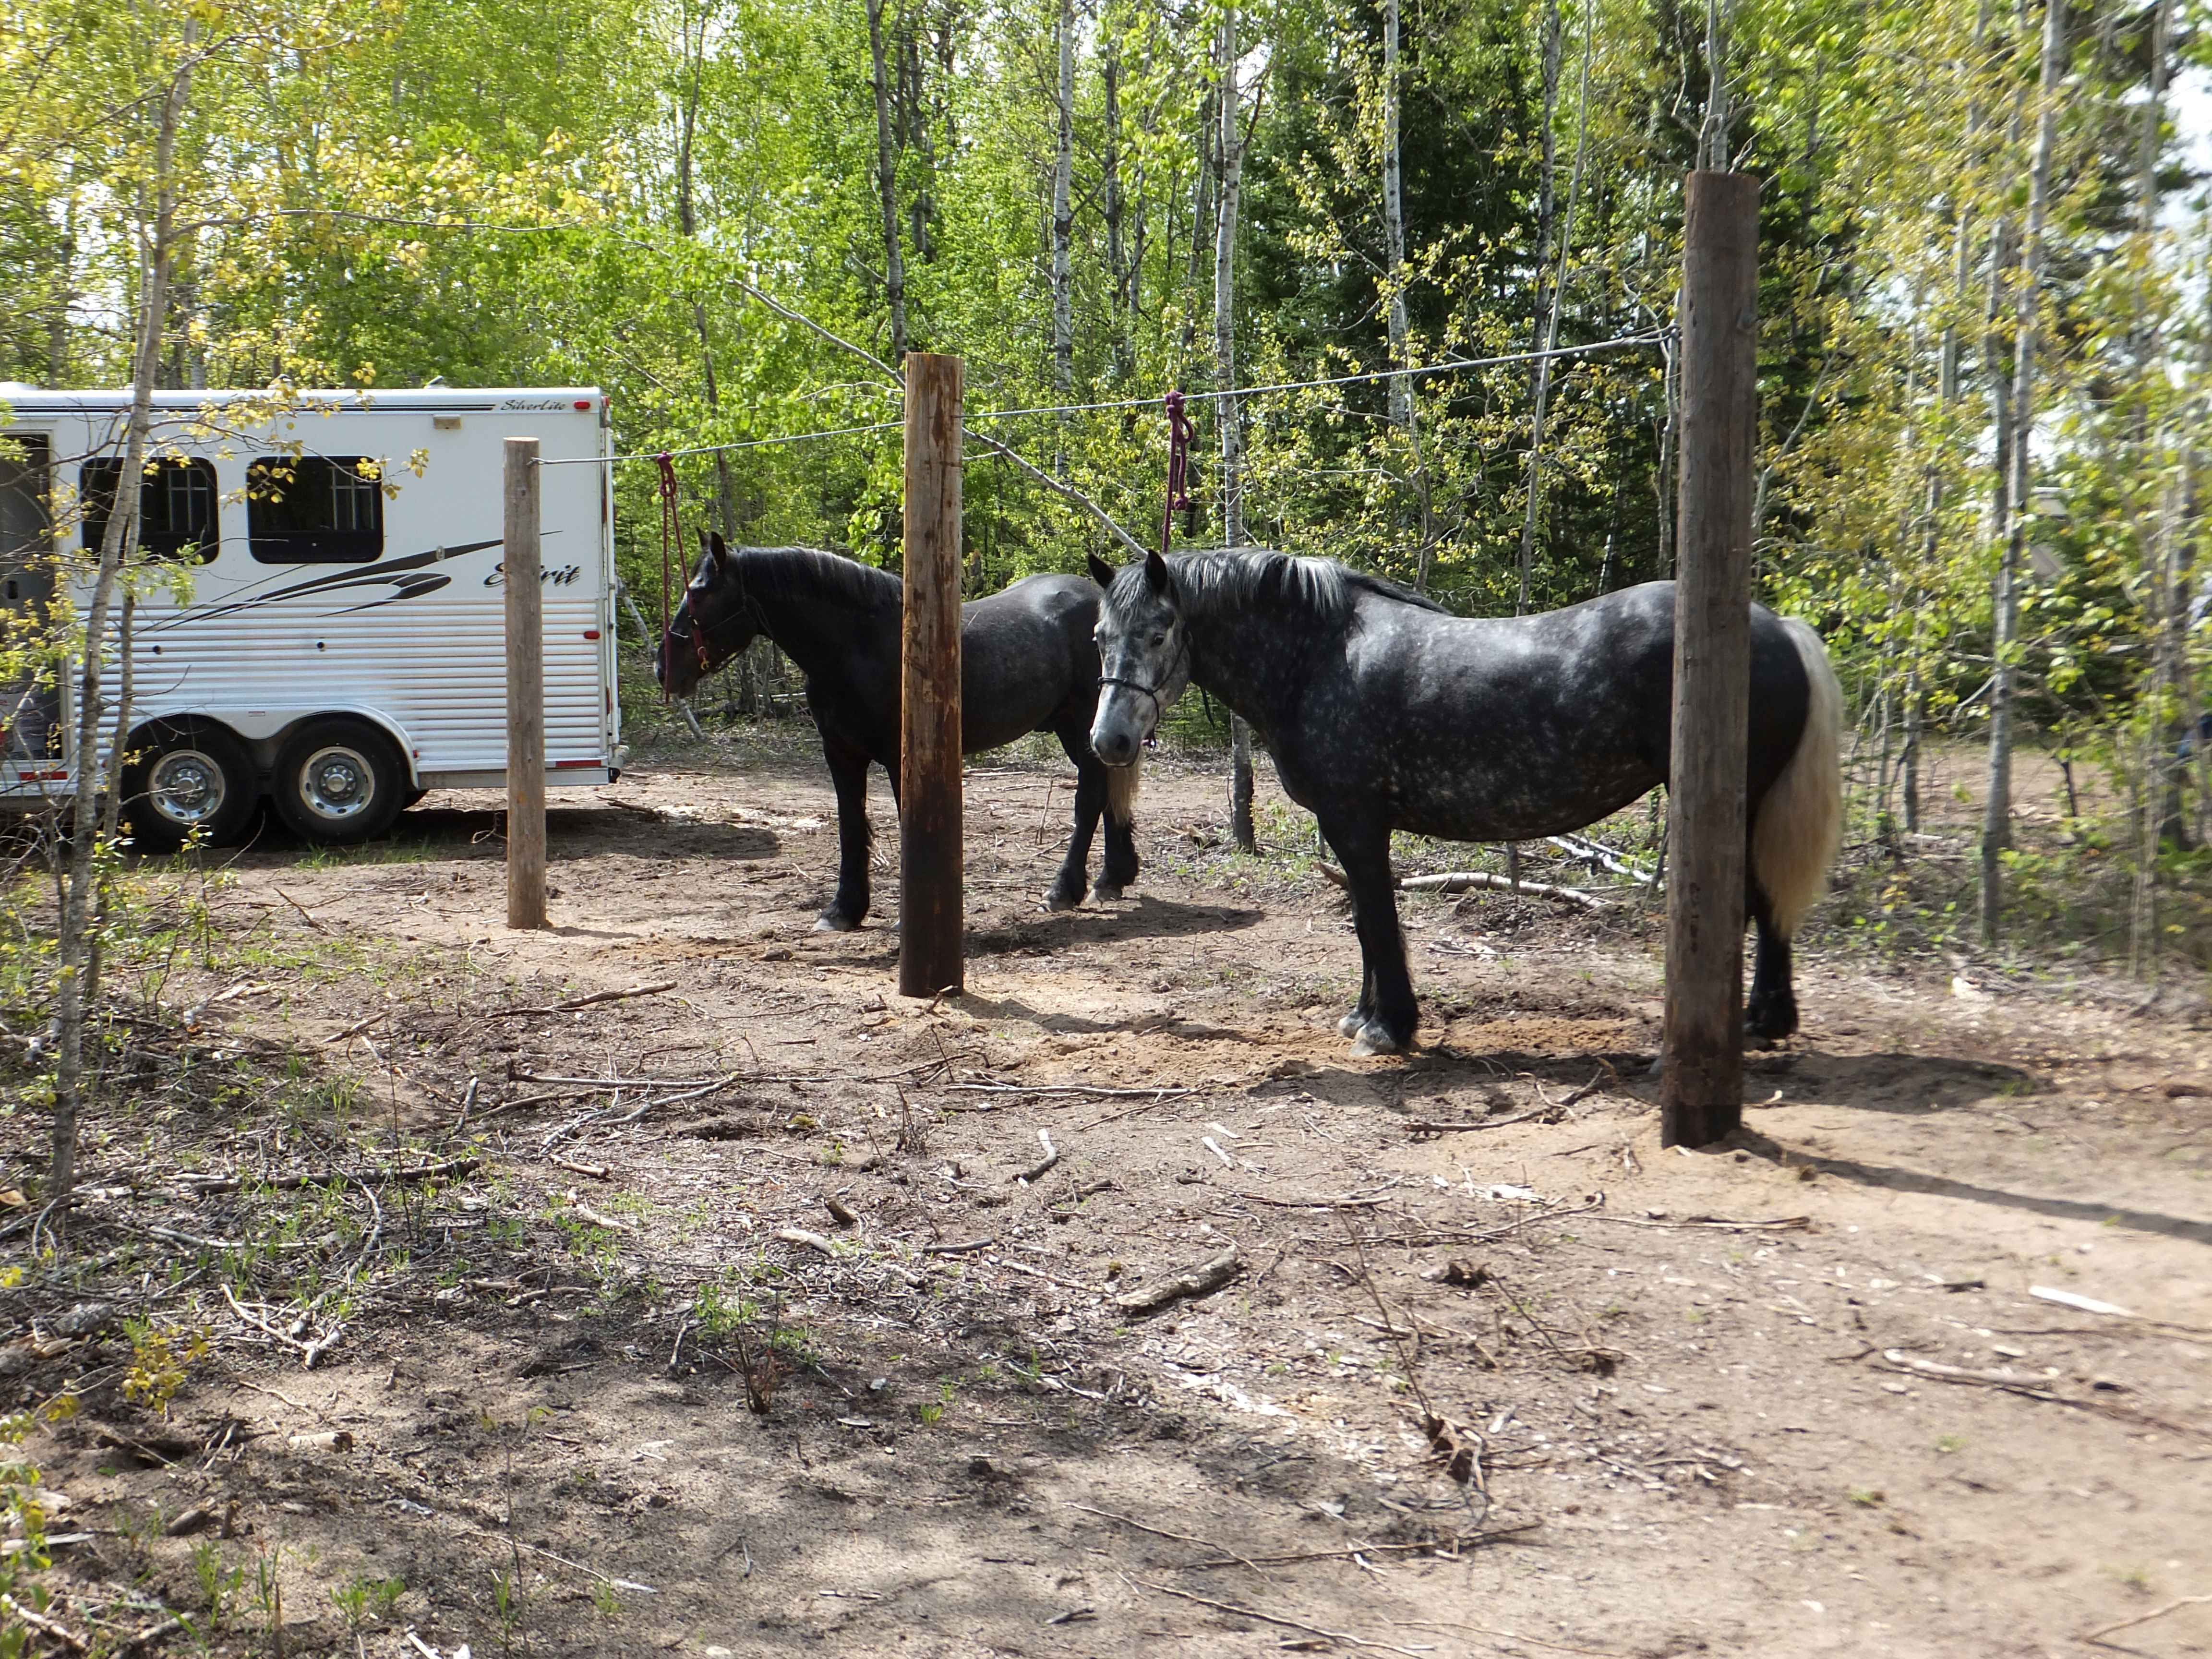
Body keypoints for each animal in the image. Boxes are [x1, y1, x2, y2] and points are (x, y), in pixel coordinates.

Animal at [659, 532, 1140, 930]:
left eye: (699, 593)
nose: (664, 669)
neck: (860, 643)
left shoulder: (897, 757)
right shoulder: (841, 753)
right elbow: (851, 825)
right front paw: (843, 911)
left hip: (1083, 726)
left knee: (1090, 798)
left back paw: (1064, 890)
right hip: (1078, 730)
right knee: (1106, 790)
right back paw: (1112, 878)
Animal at [1085, 548, 1842, 1056]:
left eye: (1159, 632)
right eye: (1098, 636)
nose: (1109, 740)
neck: (1318, 657)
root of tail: (1777, 625)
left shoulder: (1356, 821)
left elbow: (1376, 920)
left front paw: (1388, 1027)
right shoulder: (1354, 826)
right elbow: (1366, 921)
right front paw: (1367, 1016)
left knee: (1760, 898)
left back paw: (1762, 1021)